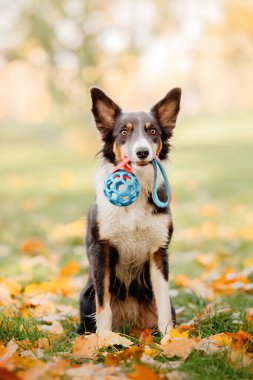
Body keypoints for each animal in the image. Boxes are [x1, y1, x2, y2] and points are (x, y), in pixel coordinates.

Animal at [78, 87, 181, 336]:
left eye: (152, 131)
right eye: (124, 132)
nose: (142, 152)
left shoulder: (159, 251)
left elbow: (163, 302)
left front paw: (169, 338)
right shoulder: (101, 249)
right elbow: (103, 303)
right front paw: (104, 338)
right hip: (86, 297)